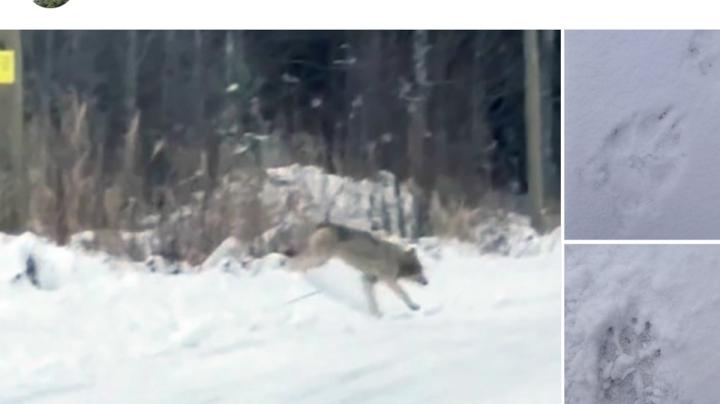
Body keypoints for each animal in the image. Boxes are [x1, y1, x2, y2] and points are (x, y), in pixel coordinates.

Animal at [288, 223, 428, 317]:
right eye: (419, 270)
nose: (427, 282)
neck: (398, 260)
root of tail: (323, 225)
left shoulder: (367, 280)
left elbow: (372, 300)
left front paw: (376, 314)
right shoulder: (388, 280)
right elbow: (403, 294)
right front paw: (413, 306)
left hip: (319, 260)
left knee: (298, 262)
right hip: (319, 259)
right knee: (296, 263)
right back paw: (292, 273)